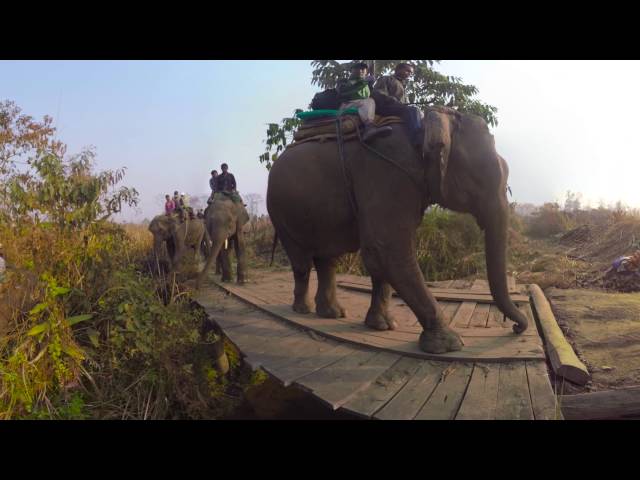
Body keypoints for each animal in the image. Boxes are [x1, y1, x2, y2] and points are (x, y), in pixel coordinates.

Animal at [266, 107, 528, 354]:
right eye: (480, 177)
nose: (517, 328)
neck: (426, 128)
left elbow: (380, 257)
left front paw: (383, 326)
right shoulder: (388, 173)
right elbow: (387, 248)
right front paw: (449, 345)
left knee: (327, 259)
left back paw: (331, 313)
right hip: (280, 211)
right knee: (302, 261)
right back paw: (303, 309)